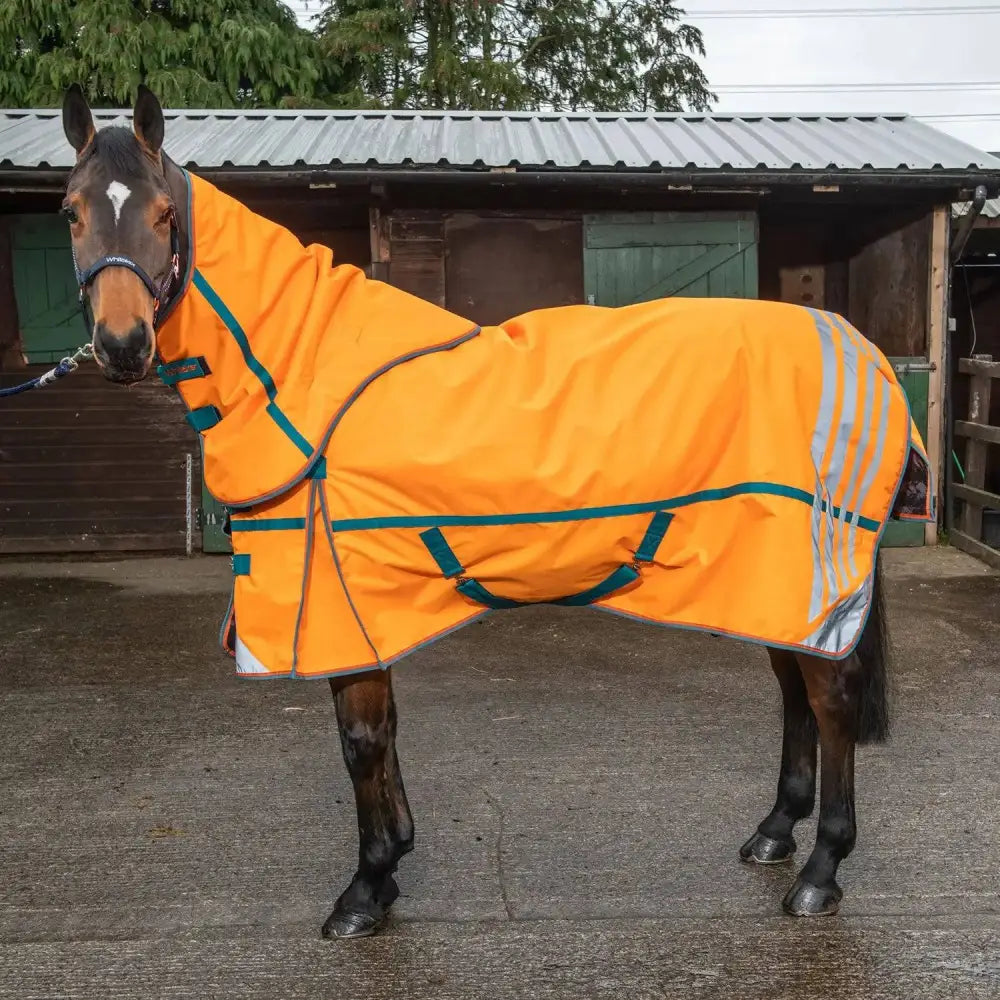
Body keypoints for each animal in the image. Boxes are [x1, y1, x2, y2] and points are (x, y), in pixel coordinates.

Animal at [58, 84, 912, 936]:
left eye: (163, 213)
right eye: (71, 211)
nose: (123, 345)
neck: (306, 376)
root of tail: (858, 347)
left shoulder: (341, 603)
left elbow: (360, 740)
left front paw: (365, 889)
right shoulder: (365, 609)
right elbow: (383, 734)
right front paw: (392, 861)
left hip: (804, 574)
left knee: (831, 698)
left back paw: (821, 870)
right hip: (765, 585)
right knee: (793, 690)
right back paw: (775, 832)